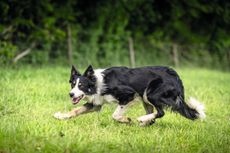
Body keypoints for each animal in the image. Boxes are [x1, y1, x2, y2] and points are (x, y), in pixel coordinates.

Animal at [54, 64, 206, 125]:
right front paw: (61, 116)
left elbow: (115, 115)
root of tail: (176, 76)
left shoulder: (128, 95)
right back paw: (145, 122)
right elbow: (76, 110)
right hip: (146, 98)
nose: (71, 94)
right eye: (73, 84)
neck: (97, 82)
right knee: (154, 115)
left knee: (161, 112)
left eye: (81, 86)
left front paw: (126, 120)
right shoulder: (96, 103)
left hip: (151, 94)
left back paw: (142, 119)